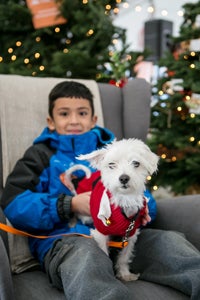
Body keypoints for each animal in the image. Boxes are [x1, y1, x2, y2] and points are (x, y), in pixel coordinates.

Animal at [78, 138, 159, 282]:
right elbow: (104, 255)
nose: (124, 178)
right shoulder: (101, 233)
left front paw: (125, 274)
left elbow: (124, 257)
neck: (124, 199)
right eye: (111, 164)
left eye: (136, 163)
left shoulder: (130, 235)